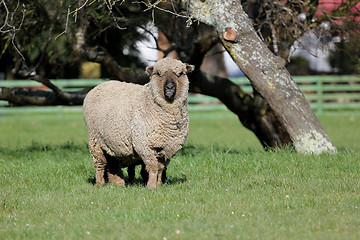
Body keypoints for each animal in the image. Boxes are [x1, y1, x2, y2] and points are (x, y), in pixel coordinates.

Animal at [82, 58, 194, 189]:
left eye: (180, 73)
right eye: (159, 73)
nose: (170, 87)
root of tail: (99, 85)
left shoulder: (167, 147)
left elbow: (161, 168)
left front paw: (159, 185)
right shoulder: (144, 144)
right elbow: (153, 166)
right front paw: (151, 186)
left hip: (111, 142)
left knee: (112, 163)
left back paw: (118, 184)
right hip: (95, 139)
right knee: (100, 163)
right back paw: (100, 184)